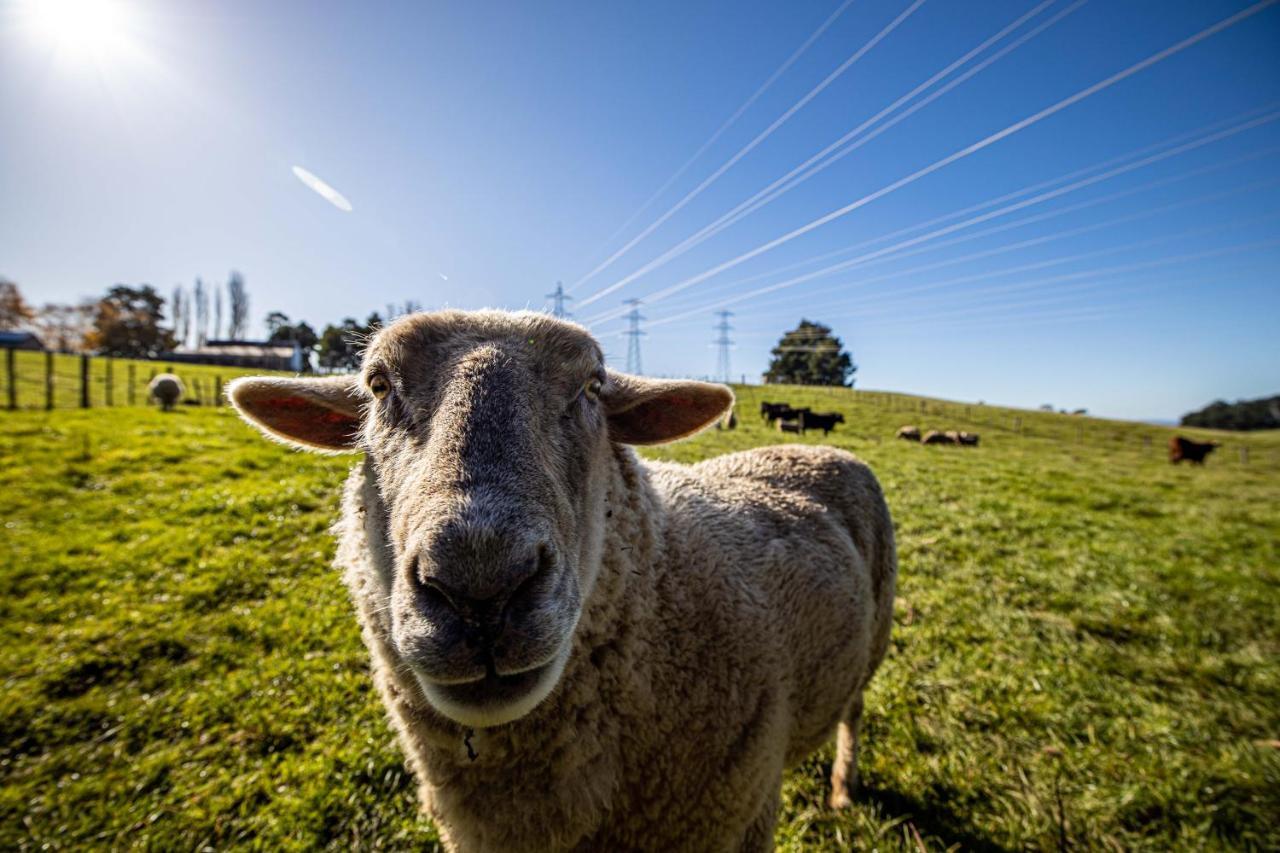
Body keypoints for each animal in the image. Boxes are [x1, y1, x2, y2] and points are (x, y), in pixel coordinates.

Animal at [225, 308, 896, 845]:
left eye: (593, 385)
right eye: (378, 383)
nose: (480, 588)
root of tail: (824, 451)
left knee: (854, 711)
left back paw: (842, 788)